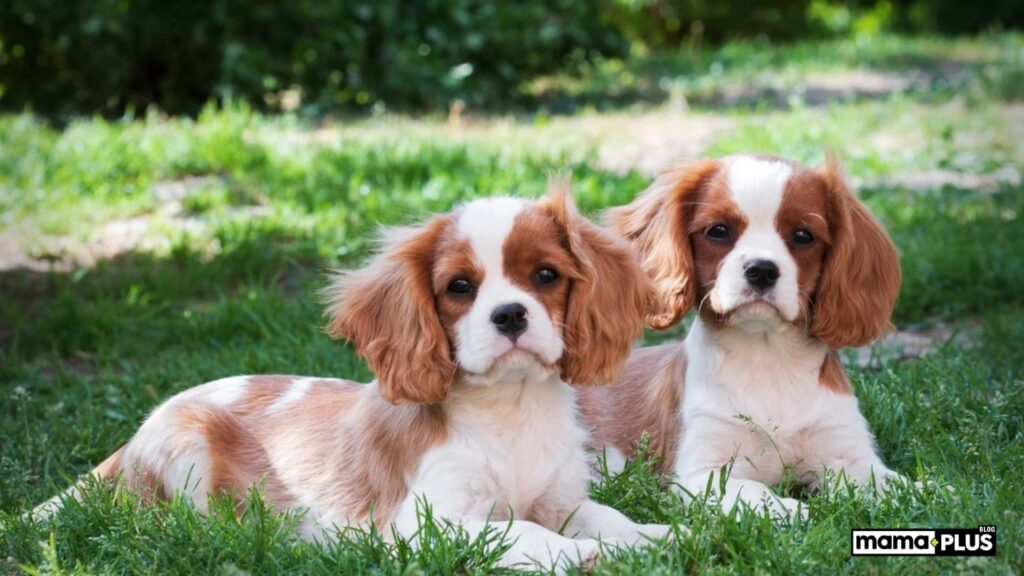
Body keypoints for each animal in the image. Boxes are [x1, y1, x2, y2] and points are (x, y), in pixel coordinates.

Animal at [32, 181, 667, 565]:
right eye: (460, 287)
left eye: (546, 276)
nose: (510, 314)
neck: (511, 409)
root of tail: (130, 439)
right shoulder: (428, 522)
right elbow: (522, 531)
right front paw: (576, 556)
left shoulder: (563, 501)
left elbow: (607, 516)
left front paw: (657, 537)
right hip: (185, 443)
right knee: (182, 528)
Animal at [581, 152, 901, 516]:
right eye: (718, 231)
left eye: (803, 235)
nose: (761, 270)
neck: (767, 355)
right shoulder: (702, 474)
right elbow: (756, 492)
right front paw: (796, 511)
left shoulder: (848, 454)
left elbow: (895, 484)